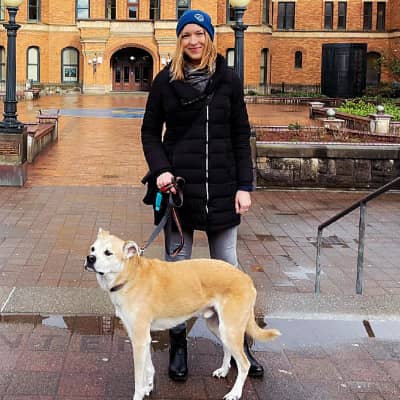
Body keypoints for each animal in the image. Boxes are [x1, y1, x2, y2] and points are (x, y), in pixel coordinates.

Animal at [84, 228, 280, 400]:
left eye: (108, 253)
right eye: (93, 249)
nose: (89, 259)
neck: (129, 276)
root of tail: (246, 278)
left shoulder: (139, 340)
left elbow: (138, 378)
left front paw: (139, 393)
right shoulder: (142, 338)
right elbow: (149, 368)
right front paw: (149, 387)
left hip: (231, 329)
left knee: (244, 364)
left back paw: (235, 393)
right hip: (218, 327)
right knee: (227, 351)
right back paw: (223, 371)